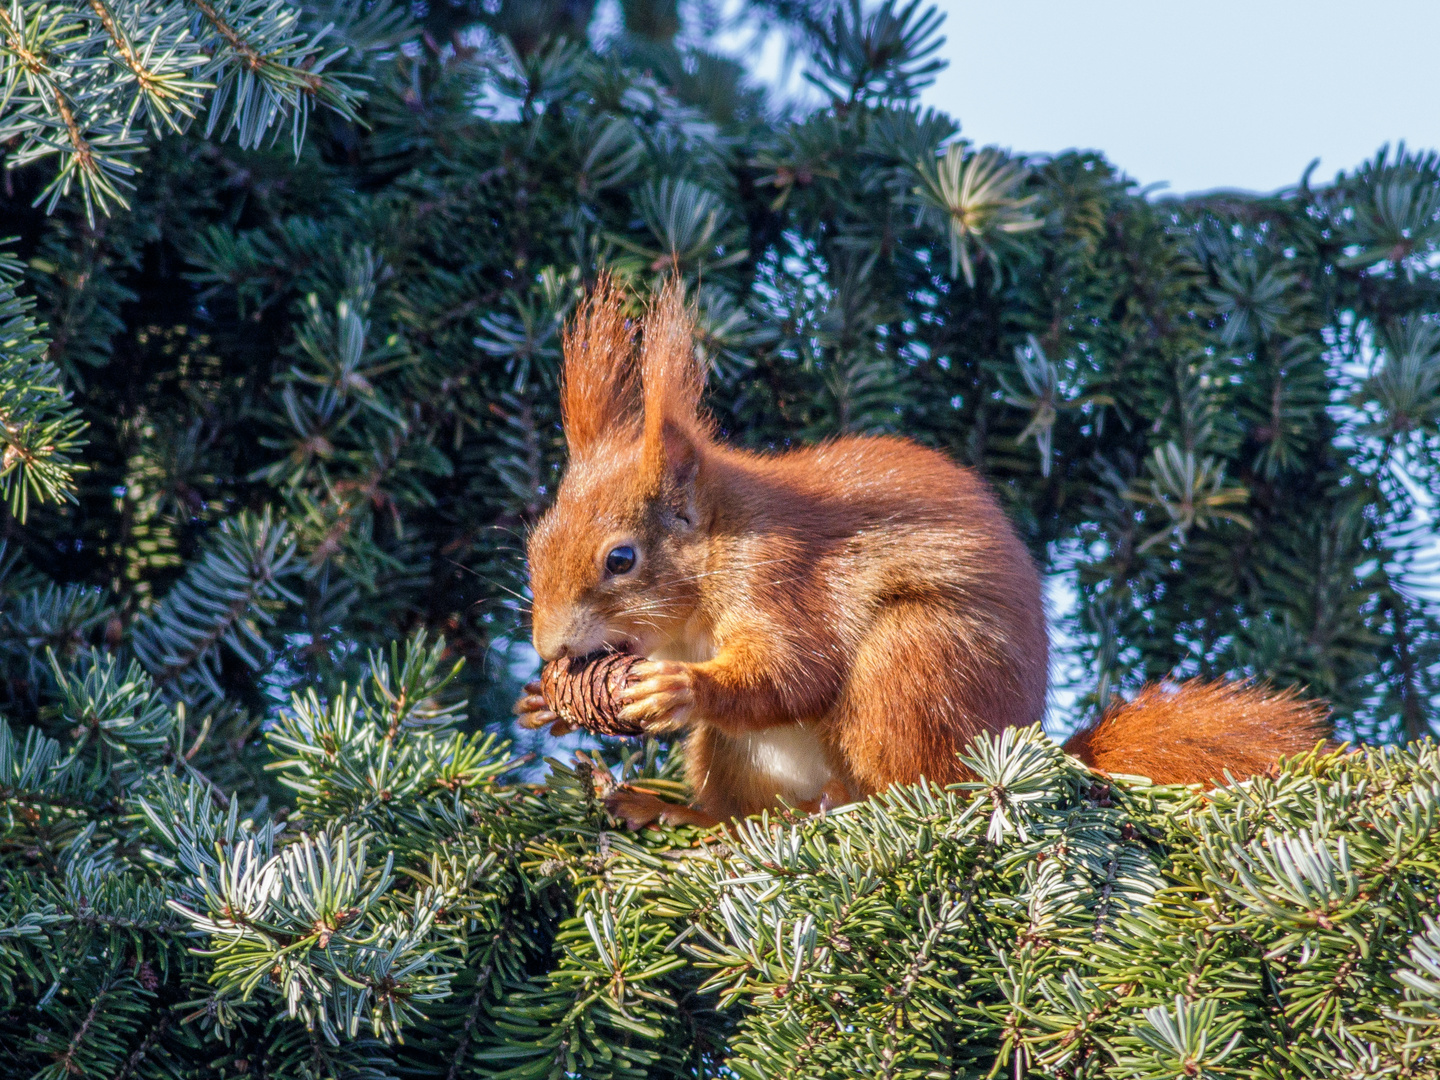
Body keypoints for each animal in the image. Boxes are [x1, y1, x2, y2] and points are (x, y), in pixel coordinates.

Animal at [515, 279, 1324, 829]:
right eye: (533, 540)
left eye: (620, 559)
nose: (548, 645)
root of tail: (1015, 747)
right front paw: (543, 703)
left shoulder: (782, 577)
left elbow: (794, 671)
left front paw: (679, 688)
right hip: (736, 754)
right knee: (742, 814)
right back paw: (677, 812)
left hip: (914, 663)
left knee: (909, 786)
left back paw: (847, 807)